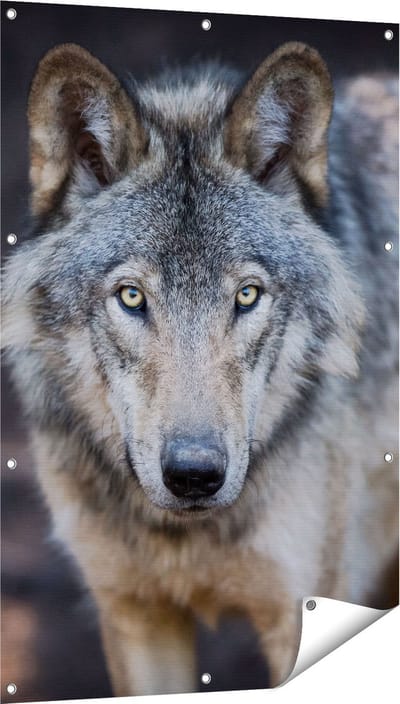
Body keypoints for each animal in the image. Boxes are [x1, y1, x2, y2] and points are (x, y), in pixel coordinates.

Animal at [2, 41, 398, 695]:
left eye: (247, 296)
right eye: (132, 297)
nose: (194, 476)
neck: (184, 537)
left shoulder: (298, 612)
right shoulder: (136, 616)